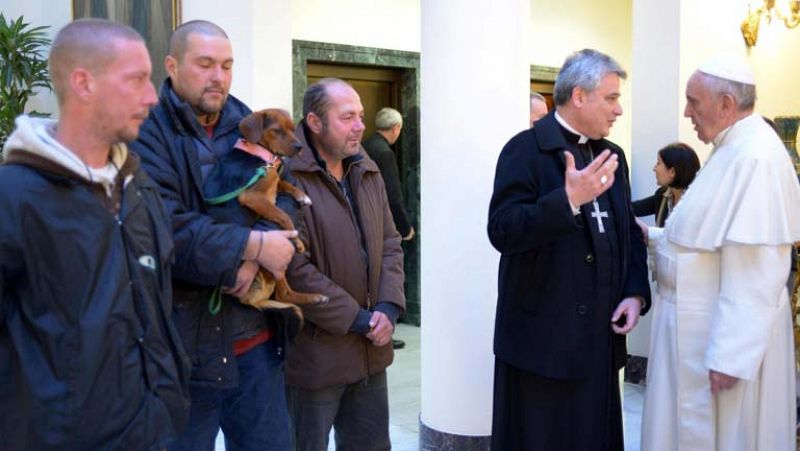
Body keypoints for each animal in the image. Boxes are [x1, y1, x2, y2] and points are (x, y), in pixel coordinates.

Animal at [236, 110, 326, 320]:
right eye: (277, 130)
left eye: (293, 129)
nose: (300, 146)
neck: (263, 154)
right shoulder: (251, 196)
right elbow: (283, 214)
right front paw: (298, 240)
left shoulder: (273, 179)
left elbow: (283, 183)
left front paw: (302, 195)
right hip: (273, 261)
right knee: (283, 294)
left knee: (284, 294)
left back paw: (315, 297)